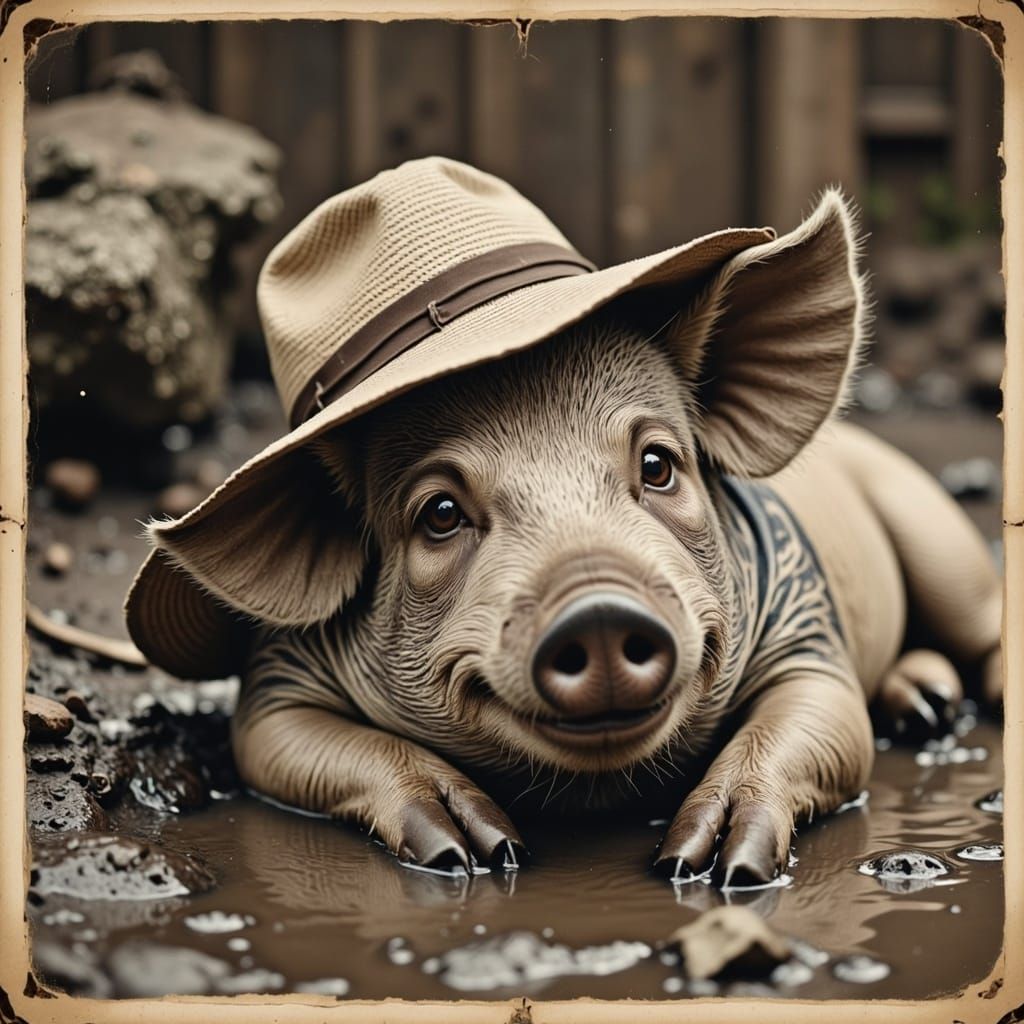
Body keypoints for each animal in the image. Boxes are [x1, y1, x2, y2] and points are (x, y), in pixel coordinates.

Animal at [227, 194, 1002, 886]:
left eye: (657, 465)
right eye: (440, 513)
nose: (597, 611)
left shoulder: (805, 622)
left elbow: (826, 723)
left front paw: (711, 868)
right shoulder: (276, 680)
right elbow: (276, 745)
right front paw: (476, 855)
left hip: (932, 527)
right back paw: (924, 703)